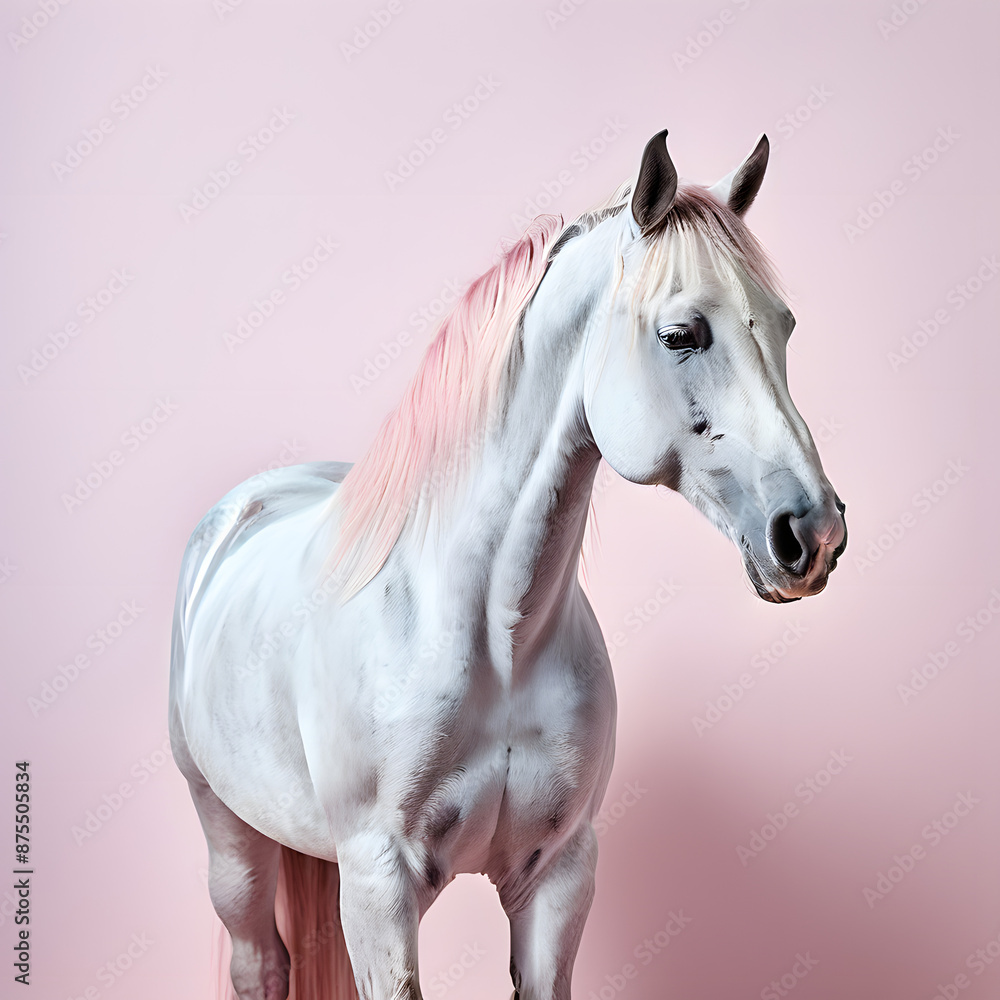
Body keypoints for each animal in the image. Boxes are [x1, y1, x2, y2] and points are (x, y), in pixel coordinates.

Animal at [169, 128, 847, 1000]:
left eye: (785, 326)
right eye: (681, 334)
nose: (812, 533)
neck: (494, 637)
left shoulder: (557, 876)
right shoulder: (380, 888)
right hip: (229, 837)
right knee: (258, 960)